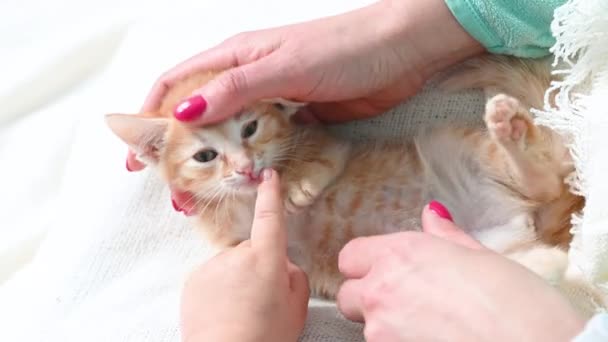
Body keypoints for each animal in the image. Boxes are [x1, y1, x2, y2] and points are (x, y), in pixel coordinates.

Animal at [105, 56, 584, 296]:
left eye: (250, 128)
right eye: (205, 156)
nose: (245, 167)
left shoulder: (330, 141)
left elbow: (316, 154)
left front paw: (296, 183)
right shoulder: (230, 236)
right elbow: (233, 234)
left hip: (454, 144)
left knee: (547, 177)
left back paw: (510, 125)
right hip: (485, 249)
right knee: (526, 264)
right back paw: (544, 266)